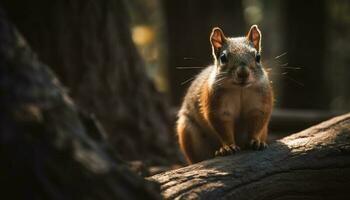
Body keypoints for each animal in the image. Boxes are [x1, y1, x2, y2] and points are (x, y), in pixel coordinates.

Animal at [178, 25, 274, 163]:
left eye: (258, 57)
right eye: (223, 58)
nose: (243, 73)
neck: (240, 89)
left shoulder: (260, 103)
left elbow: (257, 123)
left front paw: (256, 141)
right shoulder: (217, 106)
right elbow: (223, 128)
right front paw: (228, 147)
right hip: (188, 131)